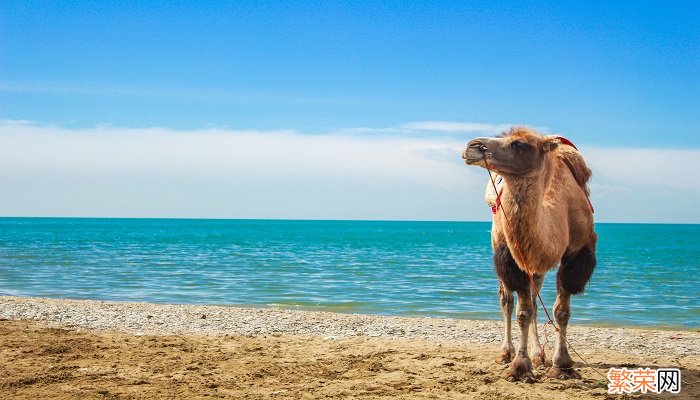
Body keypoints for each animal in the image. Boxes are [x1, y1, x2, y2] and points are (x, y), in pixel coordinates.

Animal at [460, 126, 596, 382]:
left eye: (519, 144)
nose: (472, 146)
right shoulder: (513, 257)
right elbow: (522, 312)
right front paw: (519, 367)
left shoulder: (576, 254)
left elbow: (561, 311)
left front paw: (562, 364)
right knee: (507, 300)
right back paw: (506, 353)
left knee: (534, 299)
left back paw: (538, 355)